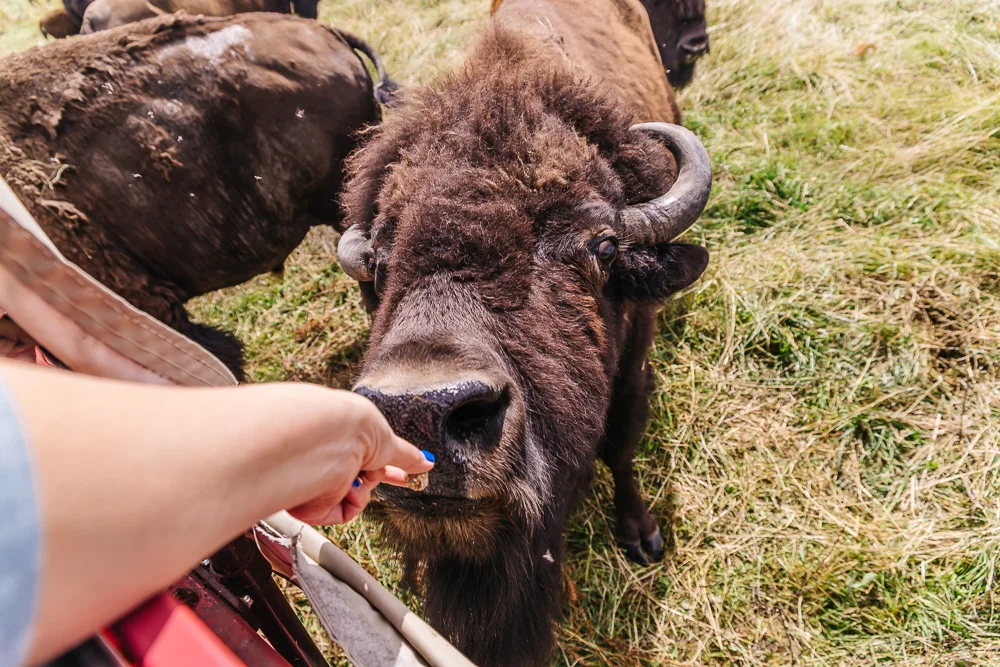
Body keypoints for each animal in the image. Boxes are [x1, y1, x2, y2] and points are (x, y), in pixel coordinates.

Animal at [337, 0, 712, 664]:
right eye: (378, 266)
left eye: (602, 247)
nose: (416, 412)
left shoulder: (631, 374)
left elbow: (621, 447)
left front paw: (642, 537)